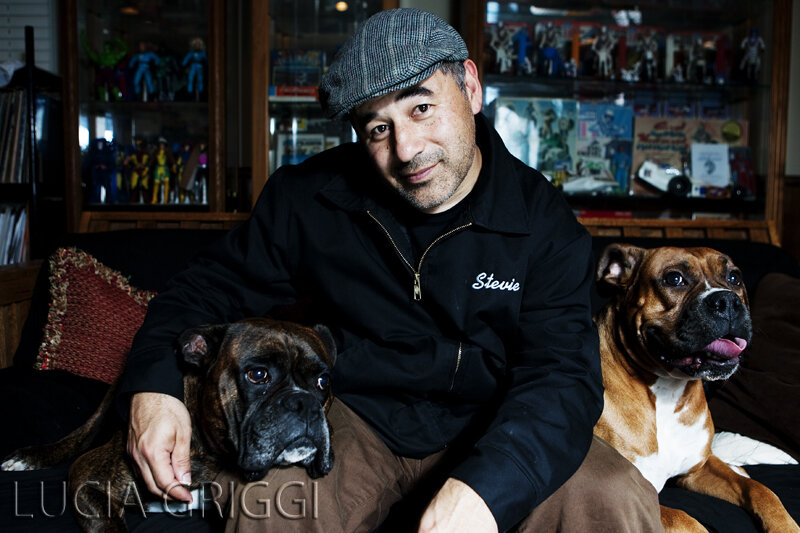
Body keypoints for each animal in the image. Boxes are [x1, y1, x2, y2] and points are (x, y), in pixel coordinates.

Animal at [1, 318, 336, 528]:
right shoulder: (88, 482)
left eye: (323, 382)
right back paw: (31, 457)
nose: (304, 403)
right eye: (258, 375)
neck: (213, 458)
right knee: (84, 432)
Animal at [592, 244, 796, 532]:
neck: (667, 391)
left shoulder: (698, 469)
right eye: (674, 278)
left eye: (734, 277)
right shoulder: (630, 495)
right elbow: (684, 519)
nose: (728, 302)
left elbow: (760, 489)